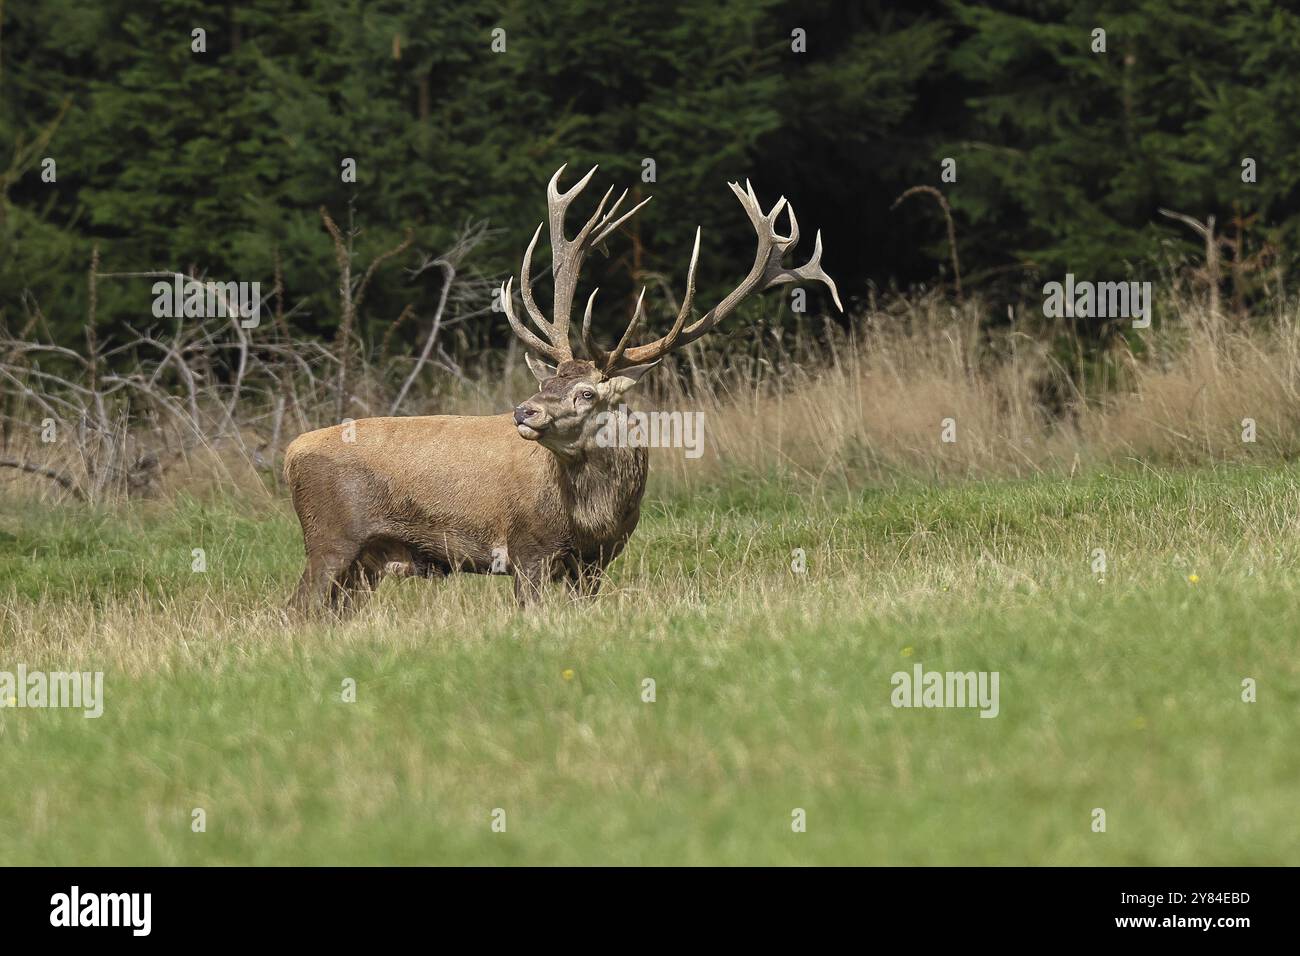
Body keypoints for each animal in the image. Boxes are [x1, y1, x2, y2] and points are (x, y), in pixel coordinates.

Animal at [283, 164, 841, 616]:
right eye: (545, 380)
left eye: (586, 394)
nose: (524, 412)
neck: (591, 520)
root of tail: (290, 454)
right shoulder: (525, 548)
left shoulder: (597, 561)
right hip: (329, 540)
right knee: (295, 610)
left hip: (364, 566)